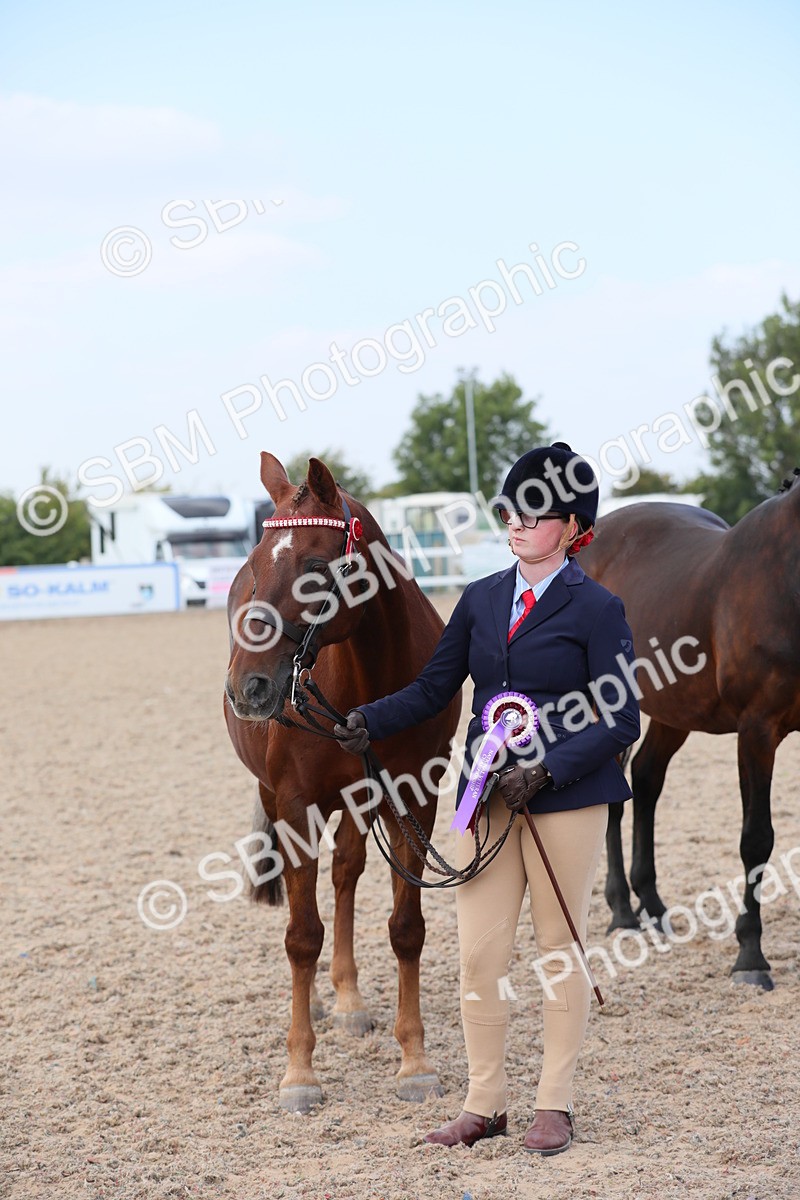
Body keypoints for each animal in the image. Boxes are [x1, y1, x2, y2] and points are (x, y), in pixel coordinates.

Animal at [224, 452, 461, 1112]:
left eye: (313, 567)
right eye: (255, 565)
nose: (248, 686)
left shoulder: (413, 798)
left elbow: (407, 929)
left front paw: (415, 1063)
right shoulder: (296, 805)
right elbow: (302, 936)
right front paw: (299, 1072)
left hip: (359, 800)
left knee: (346, 873)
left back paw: (350, 999)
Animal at [579, 469, 800, 990]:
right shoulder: (757, 731)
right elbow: (757, 839)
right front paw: (750, 957)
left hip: (672, 712)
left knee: (646, 779)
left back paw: (653, 905)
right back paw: (622, 912)